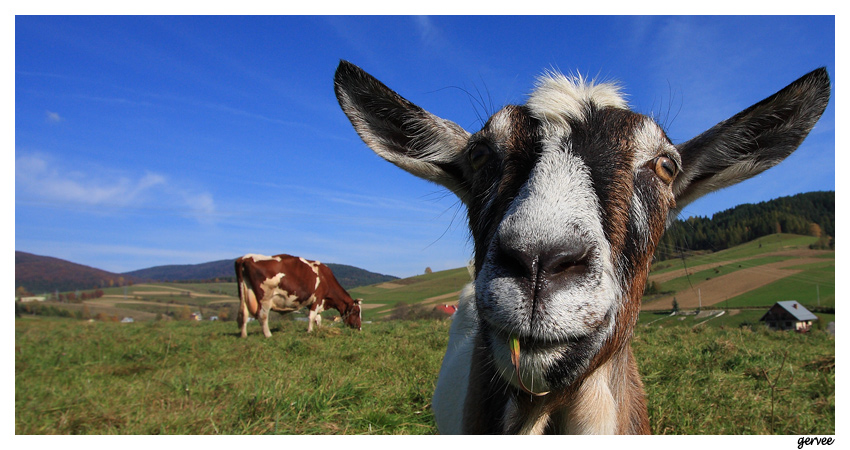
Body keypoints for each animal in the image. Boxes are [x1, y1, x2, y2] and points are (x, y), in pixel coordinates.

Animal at [234, 253, 362, 338]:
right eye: (356, 312)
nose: (359, 328)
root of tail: (245, 257)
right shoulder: (318, 298)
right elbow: (312, 317)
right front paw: (310, 332)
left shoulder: (313, 302)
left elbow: (318, 318)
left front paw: (319, 330)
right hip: (265, 297)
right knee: (262, 315)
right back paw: (268, 335)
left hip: (244, 294)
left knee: (244, 314)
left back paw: (244, 336)